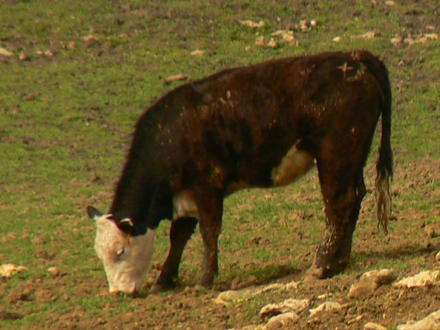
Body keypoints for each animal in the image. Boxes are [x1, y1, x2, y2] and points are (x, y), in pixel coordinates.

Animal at [86, 51, 392, 294]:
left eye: (120, 251)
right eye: (100, 255)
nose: (118, 292)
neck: (169, 134)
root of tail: (352, 57)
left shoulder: (208, 183)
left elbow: (209, 231)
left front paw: (203, 280)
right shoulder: (185, 194)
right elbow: (179, 236)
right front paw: (165, 280)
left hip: (334, 155)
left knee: (338, 203)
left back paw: (320, 265)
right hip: (353, 155)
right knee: (355, 197)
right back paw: (340, 261)